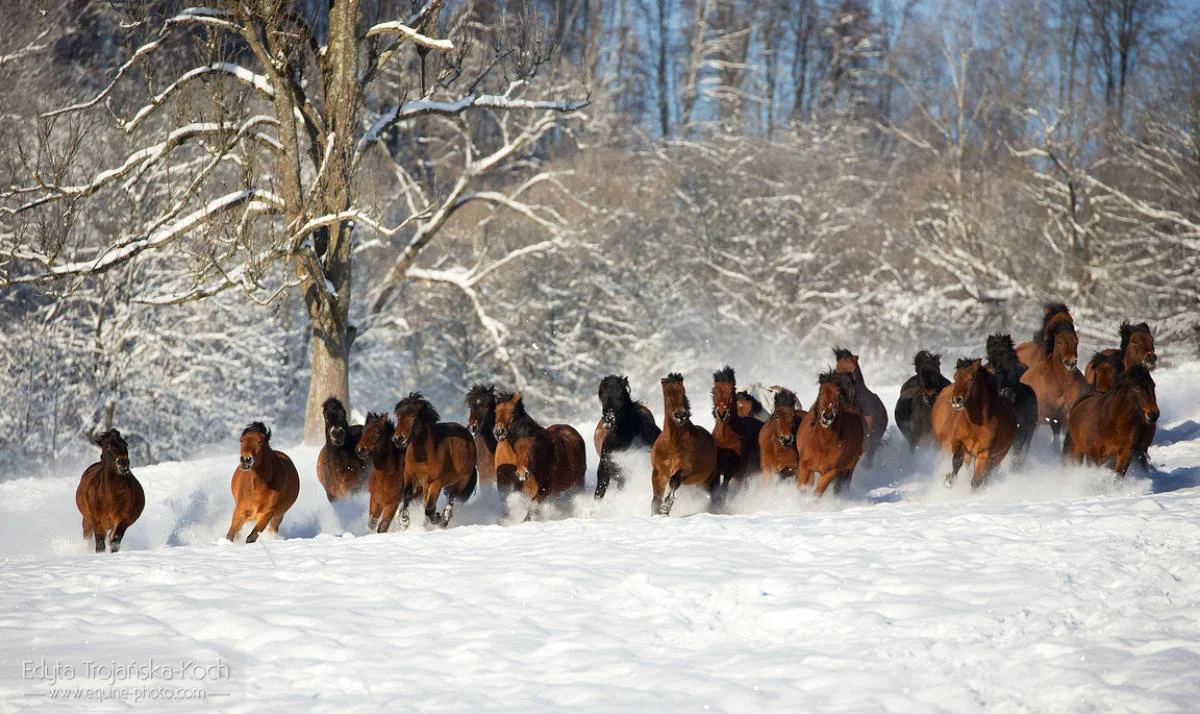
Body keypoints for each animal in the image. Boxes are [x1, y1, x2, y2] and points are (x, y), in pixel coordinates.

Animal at [388, 393, 472, 528]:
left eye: (412, 416)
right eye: (398, 415)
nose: (398, 439)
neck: (422, 457)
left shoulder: (436, 482)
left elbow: (429, 508)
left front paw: (437, 518)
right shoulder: (410, 477)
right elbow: (406, 497)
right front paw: (404, 520)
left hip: (462, 479)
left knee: (452, 498)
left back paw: (444, 519)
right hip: (426, 486)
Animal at [652, 374, 715, 513]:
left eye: (683, 392)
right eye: (668, 395)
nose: (681, 415)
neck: (671, 442)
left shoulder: (686, 468)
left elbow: (673, 481)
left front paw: (666, 508)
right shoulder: (658, 473)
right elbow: (655, 500)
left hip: (706, 480)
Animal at [931, 357, 1017, 492]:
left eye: (971, 378)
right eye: (955, 377)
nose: (956, 400)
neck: (976, 424)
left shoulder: (984, 453)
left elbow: (976, 481)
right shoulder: (959, 442)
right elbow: (957, 461)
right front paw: (949, 481)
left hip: (999, 455)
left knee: (988, 474)